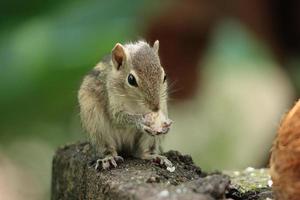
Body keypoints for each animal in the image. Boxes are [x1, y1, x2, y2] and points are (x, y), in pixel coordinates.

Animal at [77, 40, 173, 170]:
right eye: (131, 79)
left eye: (165, 76)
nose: (155, 107)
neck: (135, 103)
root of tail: (126, 148)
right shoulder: (112, 100)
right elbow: (118, 118)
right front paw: (141, 121)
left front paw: (166, 125)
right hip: (97, 128)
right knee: (107, 149)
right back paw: (108, 158)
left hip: (150, 140)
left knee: (142, 152)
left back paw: (155, 156)